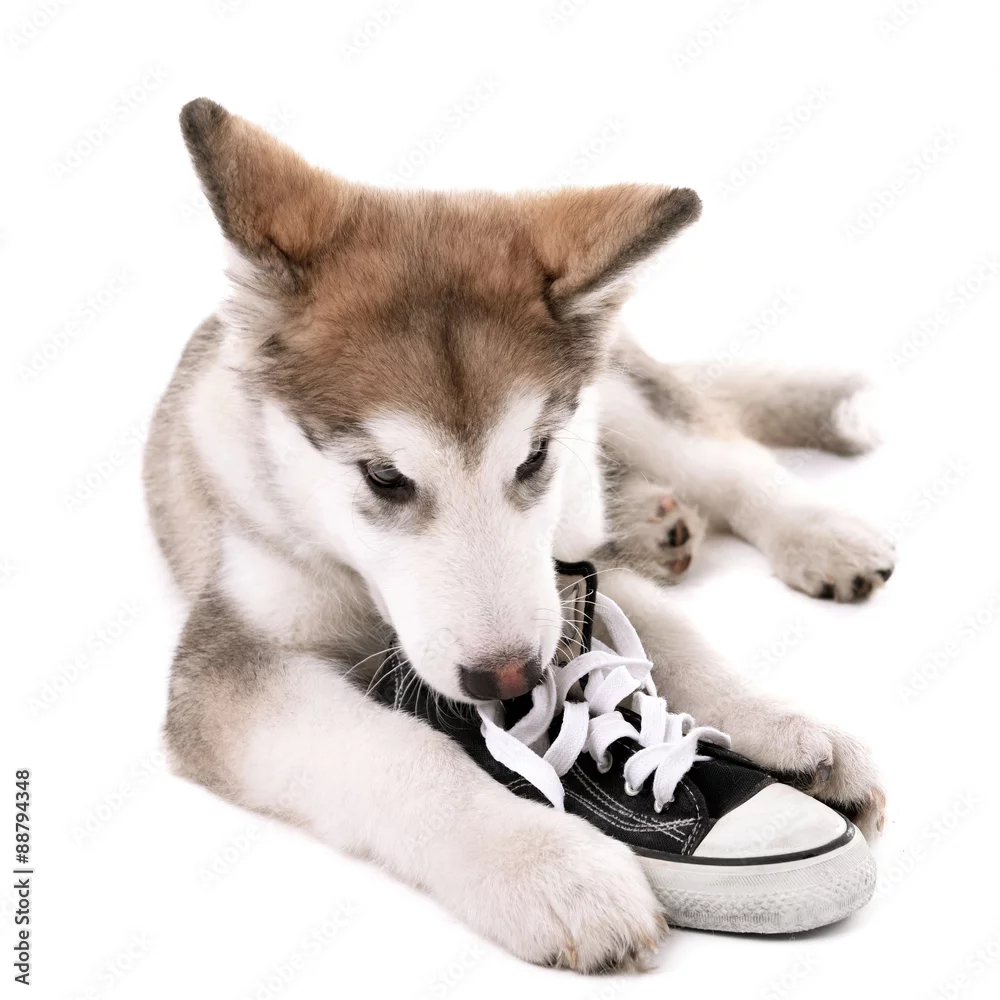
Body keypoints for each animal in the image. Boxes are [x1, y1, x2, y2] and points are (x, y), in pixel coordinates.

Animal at [144, 99, 893, 971]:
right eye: (384, 477)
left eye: (533, 456)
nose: (507, 679)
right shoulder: (234, 662)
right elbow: (400, 753)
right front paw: (548, 867)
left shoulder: (562, 567)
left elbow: (672, 639)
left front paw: (779, 723)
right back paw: (658, 523)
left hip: (616, 387)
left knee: (715, 448)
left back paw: (816, 531)